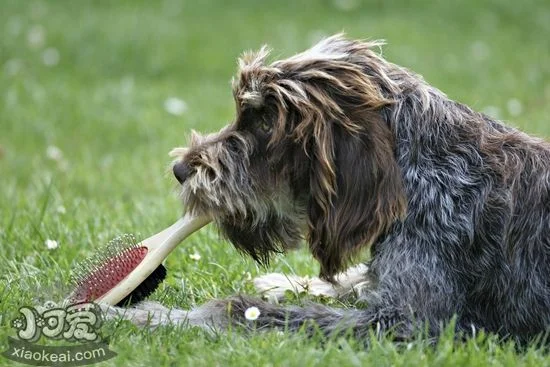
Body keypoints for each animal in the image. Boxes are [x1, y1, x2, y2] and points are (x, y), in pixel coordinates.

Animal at [106, 34, 550, 344]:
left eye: (264, 122)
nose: (180, 169)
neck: (427, 164)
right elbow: (353, 281)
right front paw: (287, 283)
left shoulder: (408, 323)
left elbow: (237, 312)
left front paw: (143, 316)